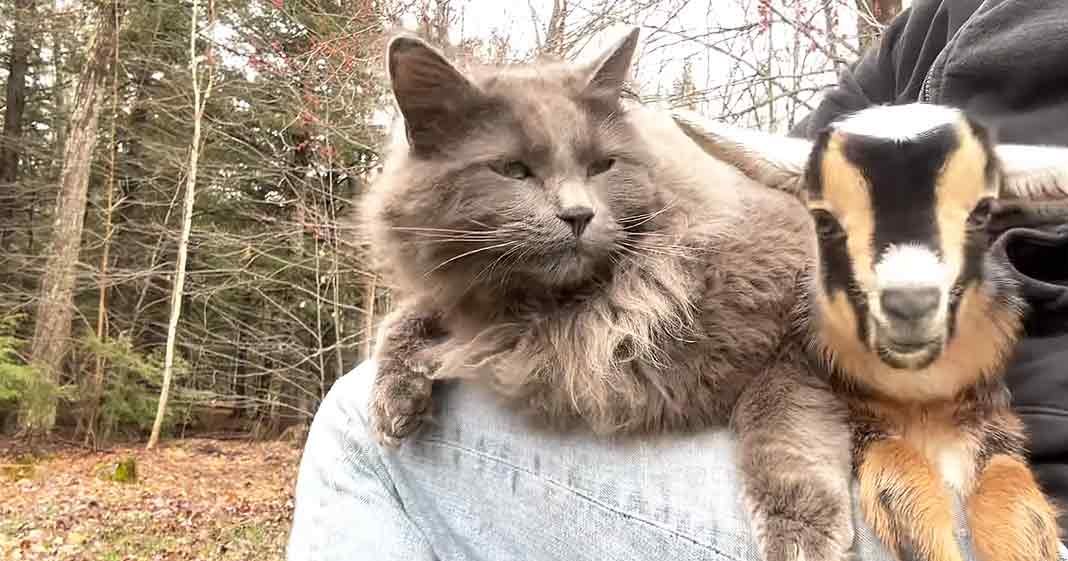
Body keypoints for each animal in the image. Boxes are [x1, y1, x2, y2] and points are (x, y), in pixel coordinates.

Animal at [672, 103, 1067, 561]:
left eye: (983, 212)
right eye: (823, 220)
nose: (910, 303)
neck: (920, 394)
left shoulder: (987, 414)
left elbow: (1008, 485)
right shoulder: (853, 411)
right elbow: (899, 476)